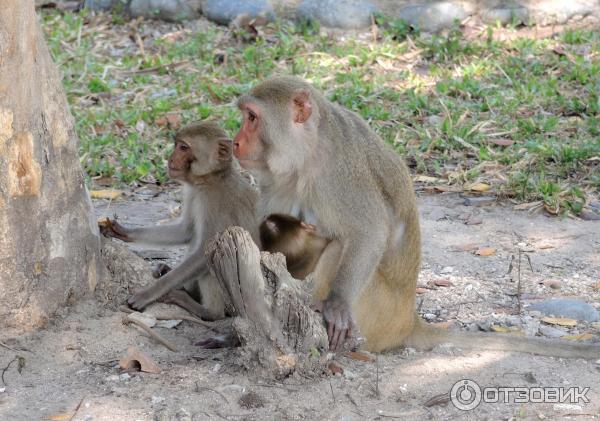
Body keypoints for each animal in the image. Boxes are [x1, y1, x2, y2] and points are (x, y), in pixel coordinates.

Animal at [100, 120, 258, 320]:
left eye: (183, 147)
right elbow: (186, 231)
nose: (170, 159)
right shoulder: (193, 193)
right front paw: (123, 231)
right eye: (176, 145)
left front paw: (149, 293)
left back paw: (207, 311)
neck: (211, 180)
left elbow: (205, 253)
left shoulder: (216, 204)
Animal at [234, 75, 600, 358]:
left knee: (340, 248)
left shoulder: (340, 174)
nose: (236, 142)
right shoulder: (275, 181)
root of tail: (408, 319)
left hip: (378, 313)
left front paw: (337, 304)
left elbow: (370, 231)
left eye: (252, 117)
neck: (307, 153)